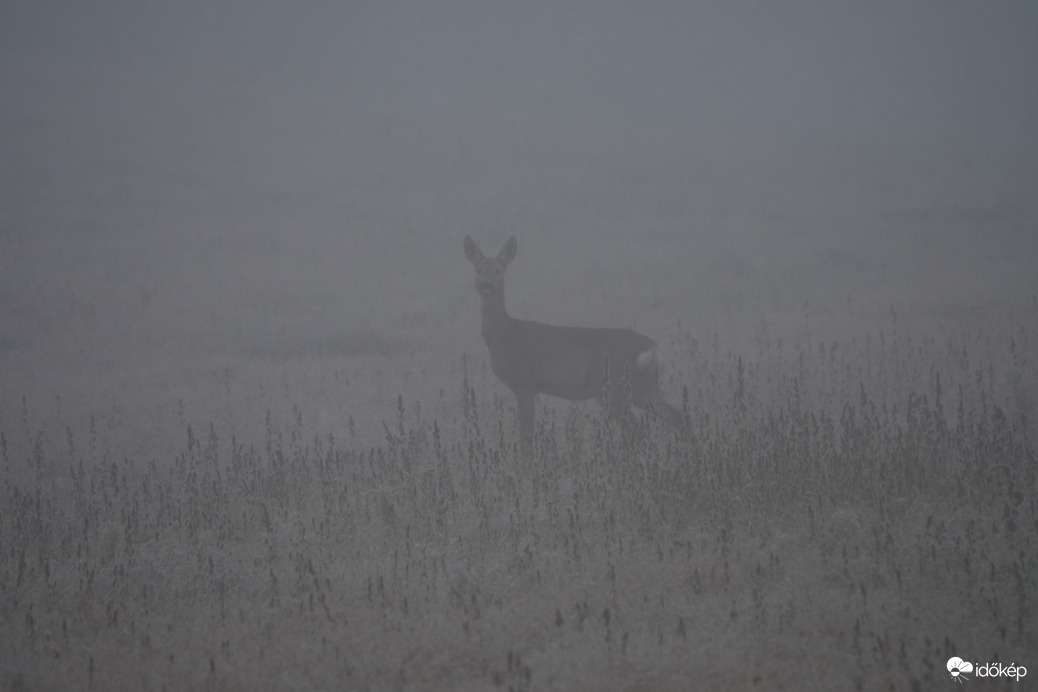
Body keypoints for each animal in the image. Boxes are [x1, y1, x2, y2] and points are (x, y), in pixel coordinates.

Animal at [462, 235, 680, 456]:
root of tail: (652, 347)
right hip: (643, 386)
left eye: (499, 270)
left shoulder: (525, 382)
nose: (487, 284)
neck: (504, 335)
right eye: (478, 270)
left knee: (635, 428)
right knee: (675, 415)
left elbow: (526, 436)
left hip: (610, 387)